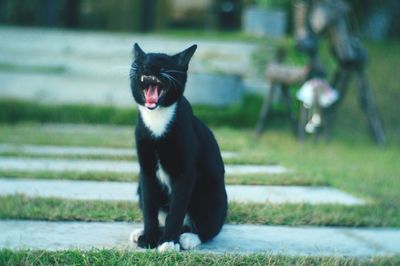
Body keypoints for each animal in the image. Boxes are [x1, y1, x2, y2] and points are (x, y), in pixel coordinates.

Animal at [129, 43, 227, 251]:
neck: (157, 118)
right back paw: (143, 232)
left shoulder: (185, 172)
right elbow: (149, 205)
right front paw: (149, 237)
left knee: (210, 226)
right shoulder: (146, 170)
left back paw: (190, 236)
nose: (148, 67)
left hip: (213, 193)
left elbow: (177, 208)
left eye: (163, 64)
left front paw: (168, 241)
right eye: (140, 61)